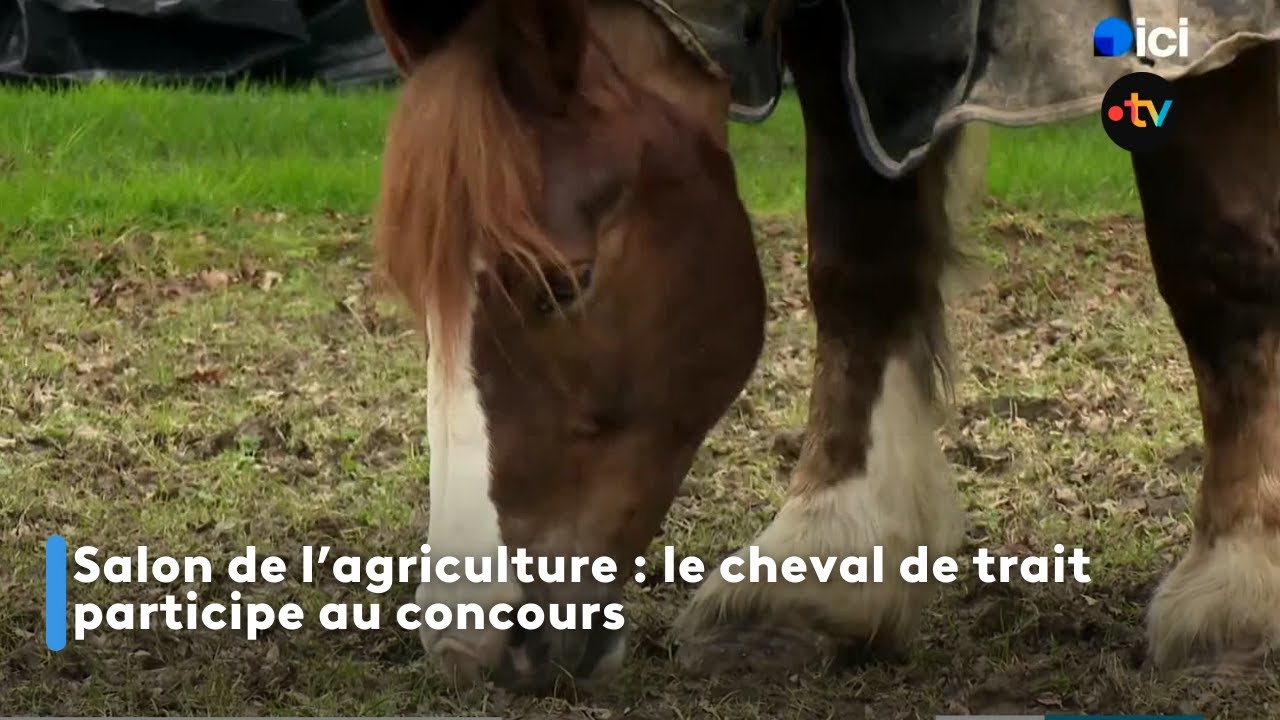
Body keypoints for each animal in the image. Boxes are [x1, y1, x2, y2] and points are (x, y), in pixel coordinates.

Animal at [365, 0, 1280, 692]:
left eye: (561, 282)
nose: (467, 646)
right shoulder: (846, 50)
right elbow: (859, 254)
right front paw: (821, 555)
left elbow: (1222, 257)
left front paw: (1240, 582)